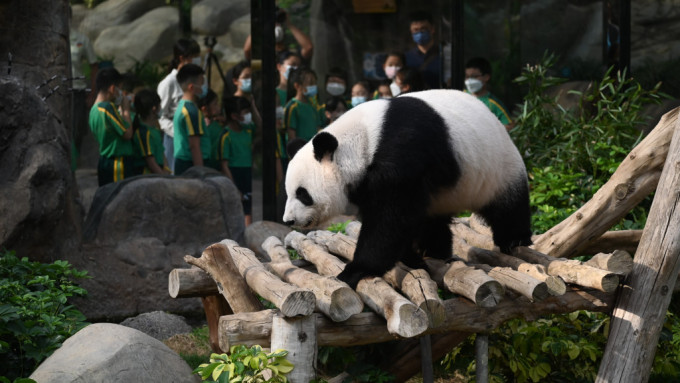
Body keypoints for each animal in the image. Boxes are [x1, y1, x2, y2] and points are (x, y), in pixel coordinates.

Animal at [282, 90, 532, 288]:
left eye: (302, 194)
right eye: (289, 192)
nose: (289, 220)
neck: (362, 140)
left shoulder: (401, 157)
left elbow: (389, 220)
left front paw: (355, 270)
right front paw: (412, 259)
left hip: (497, 168)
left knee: (508, 207)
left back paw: (514, 240)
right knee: (432, 221)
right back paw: (433, 250)